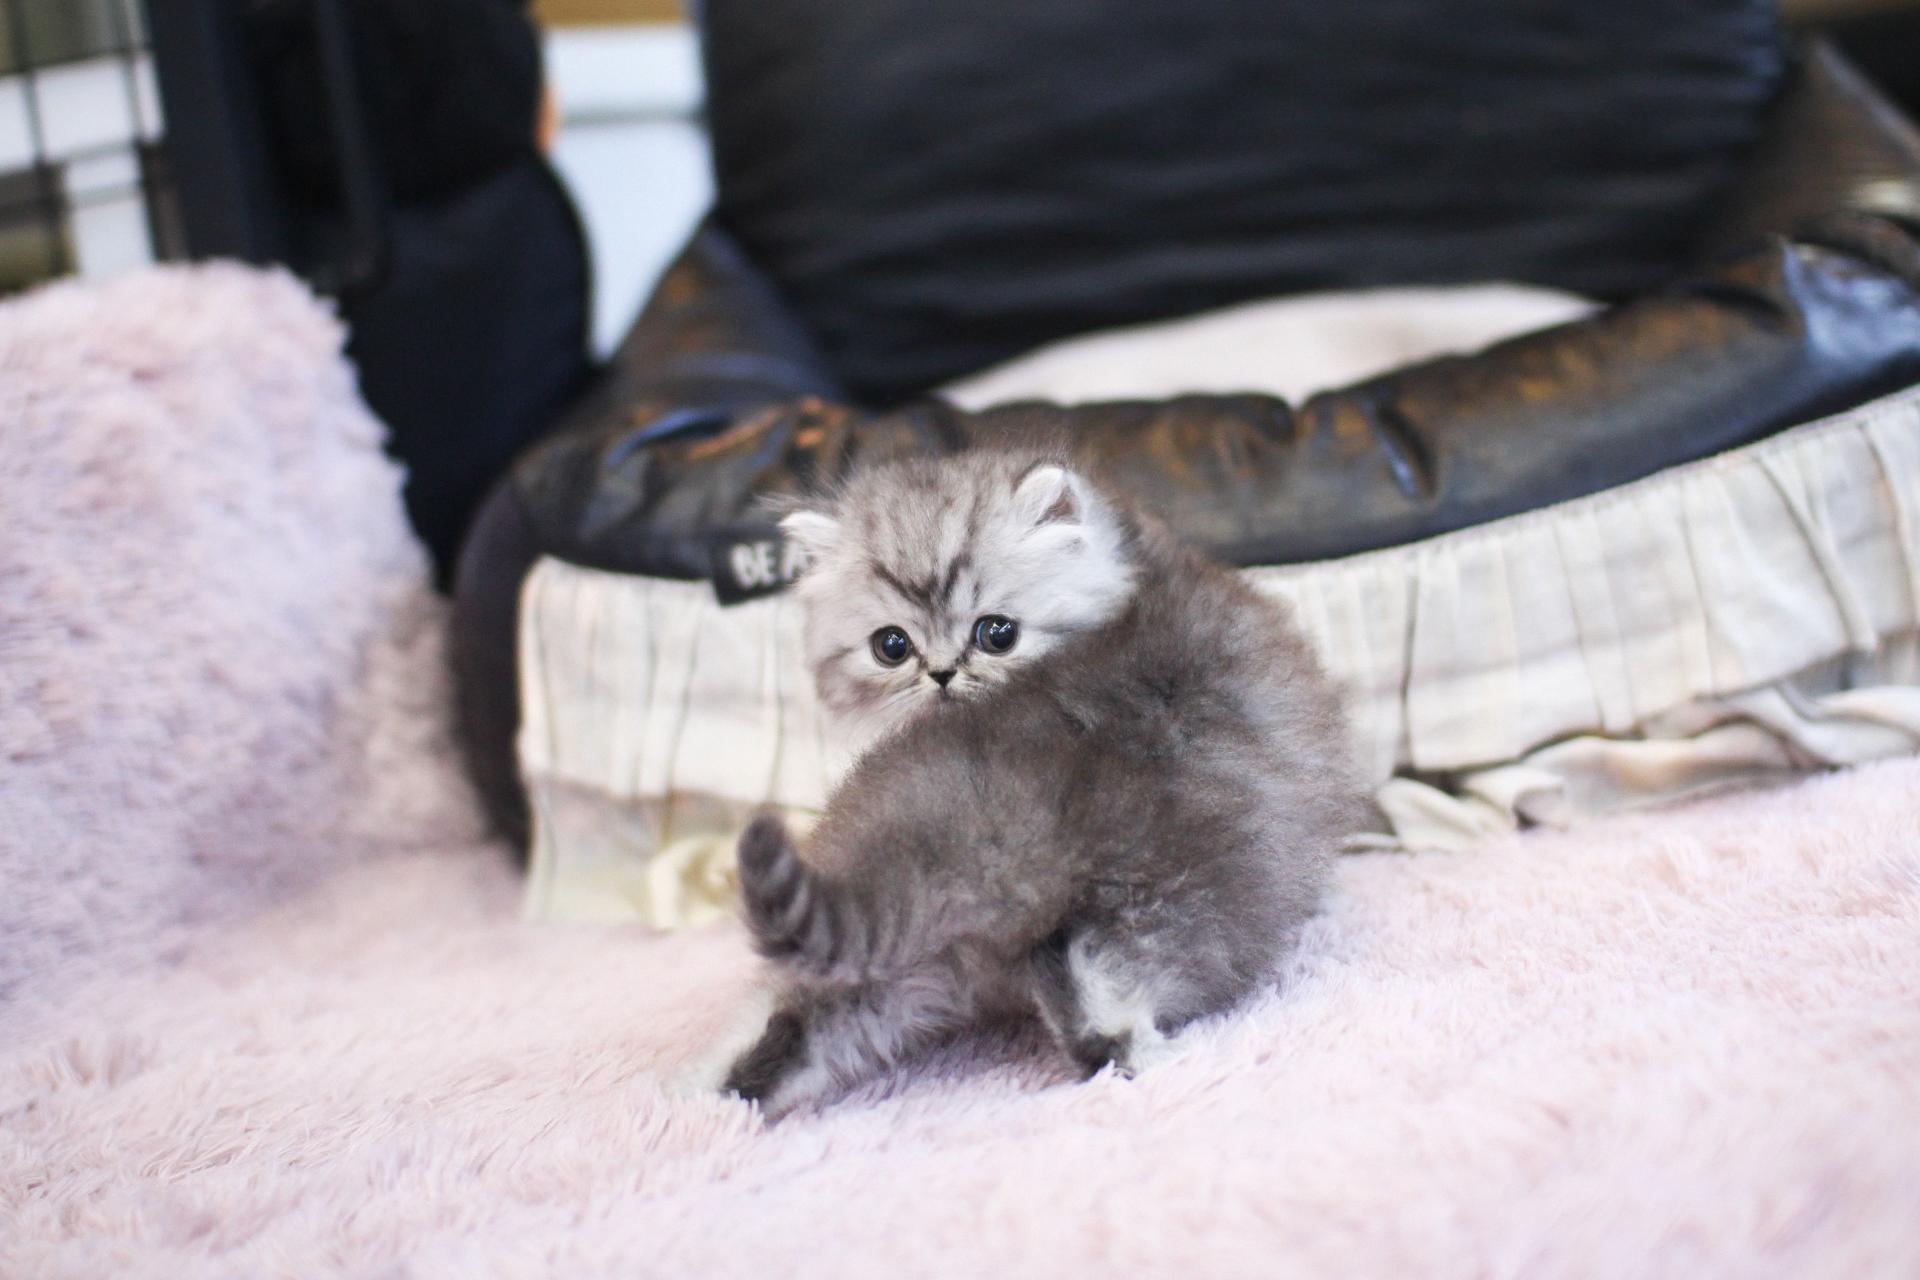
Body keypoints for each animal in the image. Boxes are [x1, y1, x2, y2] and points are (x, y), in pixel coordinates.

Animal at [721, 448, 1365, 1119]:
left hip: (896, 971)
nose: (942, 675)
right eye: (891, 646)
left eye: (997, 633)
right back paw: (1165, 1056)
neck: (1143, 563)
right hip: (1171, 890)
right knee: (1091, 995)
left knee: (799, 1027)